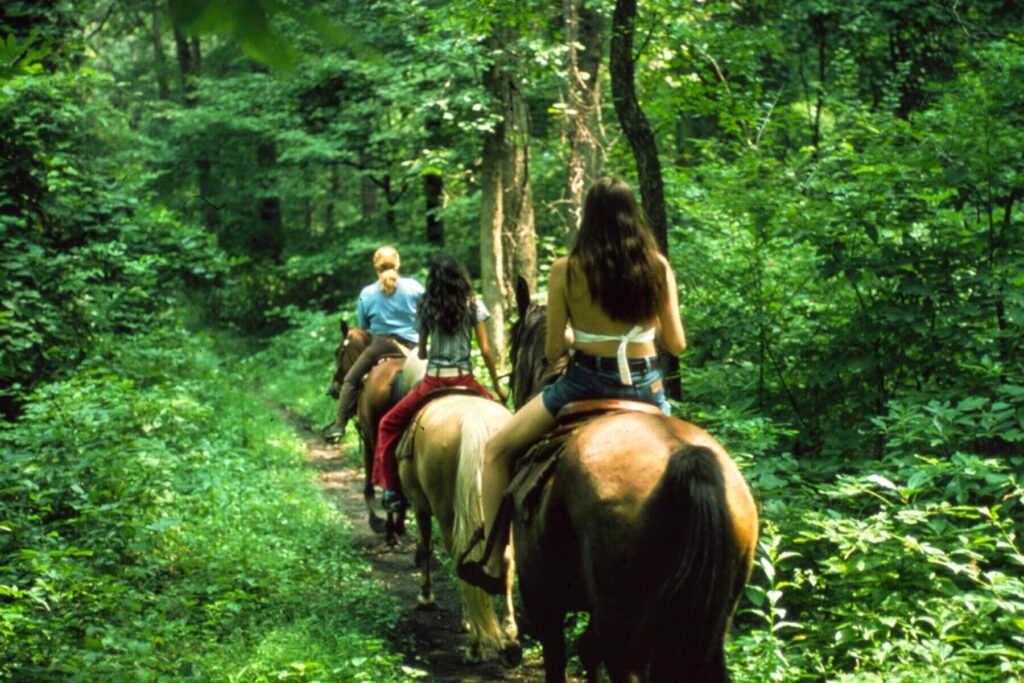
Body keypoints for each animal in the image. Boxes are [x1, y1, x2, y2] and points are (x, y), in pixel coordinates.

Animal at [393, 393, 520, 663]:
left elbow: (426, 547)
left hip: (446, 513)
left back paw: (474, 646)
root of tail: (476, 421)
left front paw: (426, 597)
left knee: (461, 563)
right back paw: (509, 638)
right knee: (505, 561)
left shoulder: (420, 506)